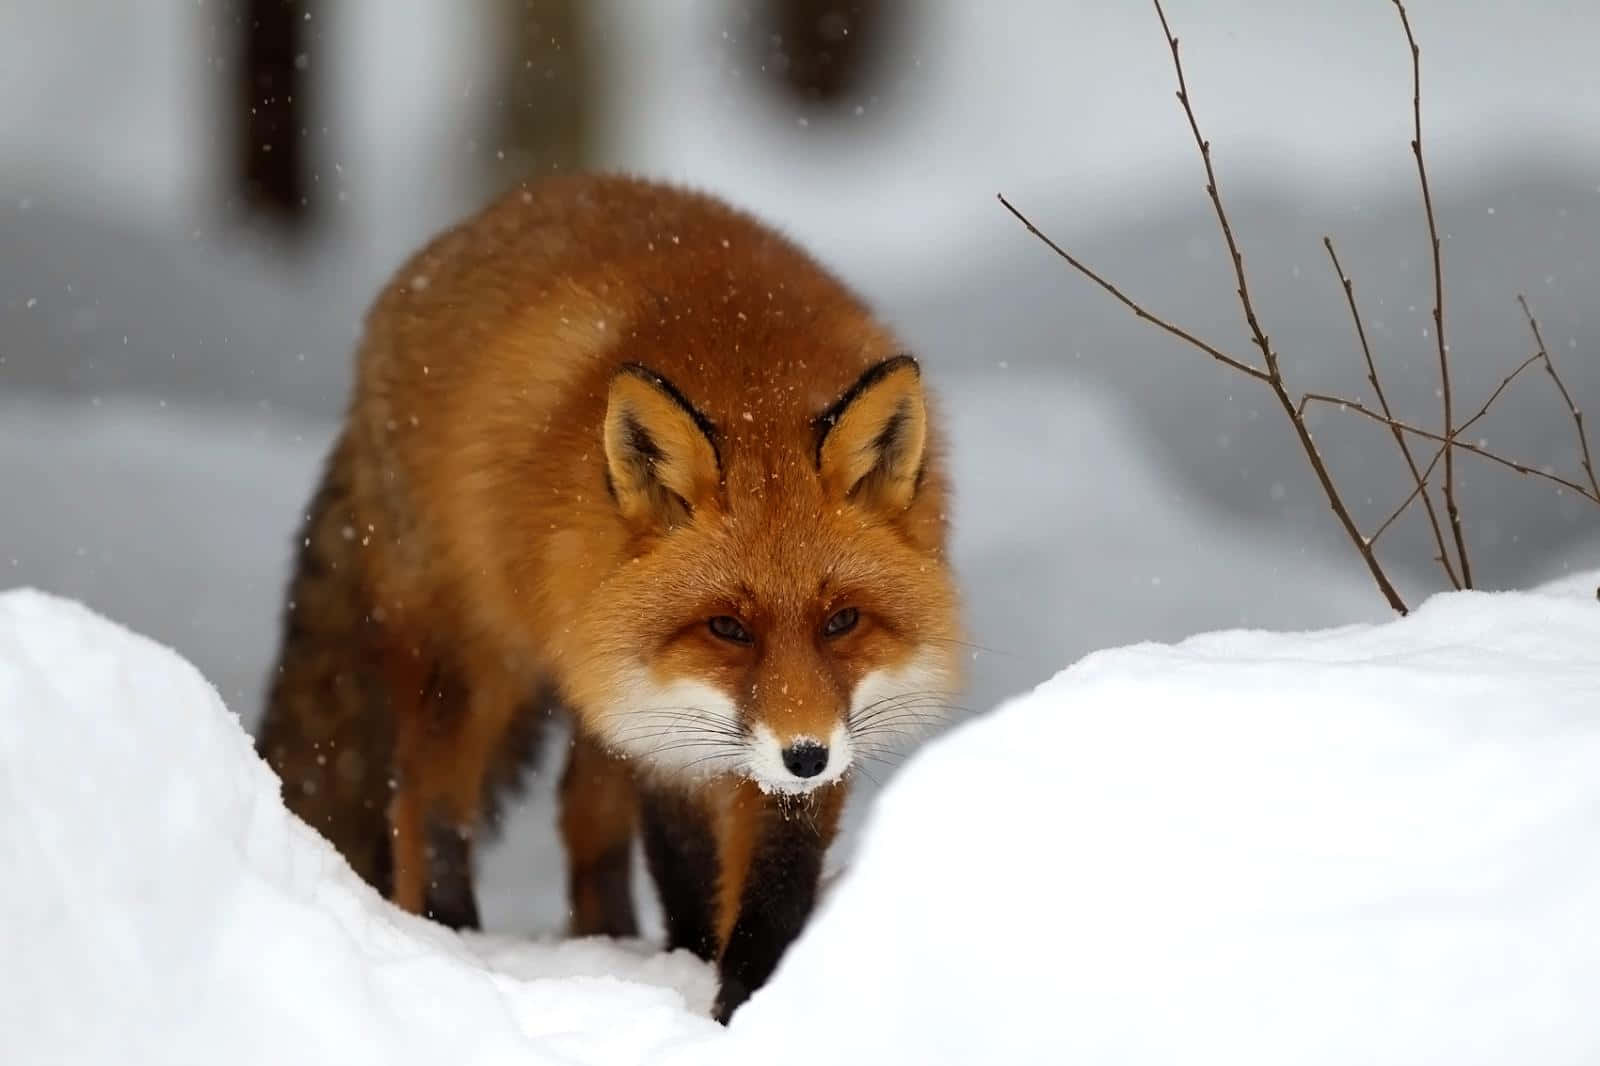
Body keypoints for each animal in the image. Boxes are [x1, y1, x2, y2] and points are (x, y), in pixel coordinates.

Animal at [257, 170, 960, 1017]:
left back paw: (611, 938)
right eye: (727, 627)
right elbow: (688, 866)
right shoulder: (666, 727)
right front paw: (707, 977)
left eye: (844, 621)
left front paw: (751, 996)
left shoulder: (781, 728)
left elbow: (774, 882)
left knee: (580, 815)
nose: (804, 755)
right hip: (478, 664)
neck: (750, 375)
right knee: (424, 802)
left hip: (593, 682)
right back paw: (456, 937)